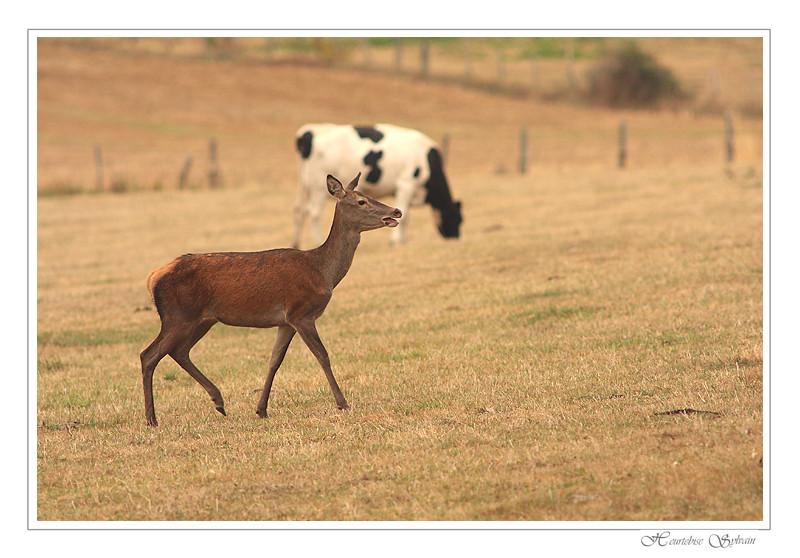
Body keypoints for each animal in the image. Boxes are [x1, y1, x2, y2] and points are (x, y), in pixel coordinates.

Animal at [141, 175, 404, 428]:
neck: (322, 270)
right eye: (362, 201)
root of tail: (152, 276)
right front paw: (342, 403)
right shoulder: (301, 312)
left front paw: (261, 409)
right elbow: (322, 355)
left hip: (203, 320)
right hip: (178, 316)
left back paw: (218, 401)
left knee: (179, 351)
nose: (397, 211)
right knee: (149, 355)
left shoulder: (285, 322)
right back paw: (152, 419)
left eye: (367, 195)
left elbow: (274, 361)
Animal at [292, 124, 462, 247]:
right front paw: (396, 242)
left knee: (300, 212)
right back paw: (318, 241)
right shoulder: (406, 184)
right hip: (318, 188)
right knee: (314, 213)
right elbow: (405, 215)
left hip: (306, 187)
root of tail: (306, 132)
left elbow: (406, 217)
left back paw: (296, 243)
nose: (456, 238)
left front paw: (403, 240)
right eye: (458, 218)